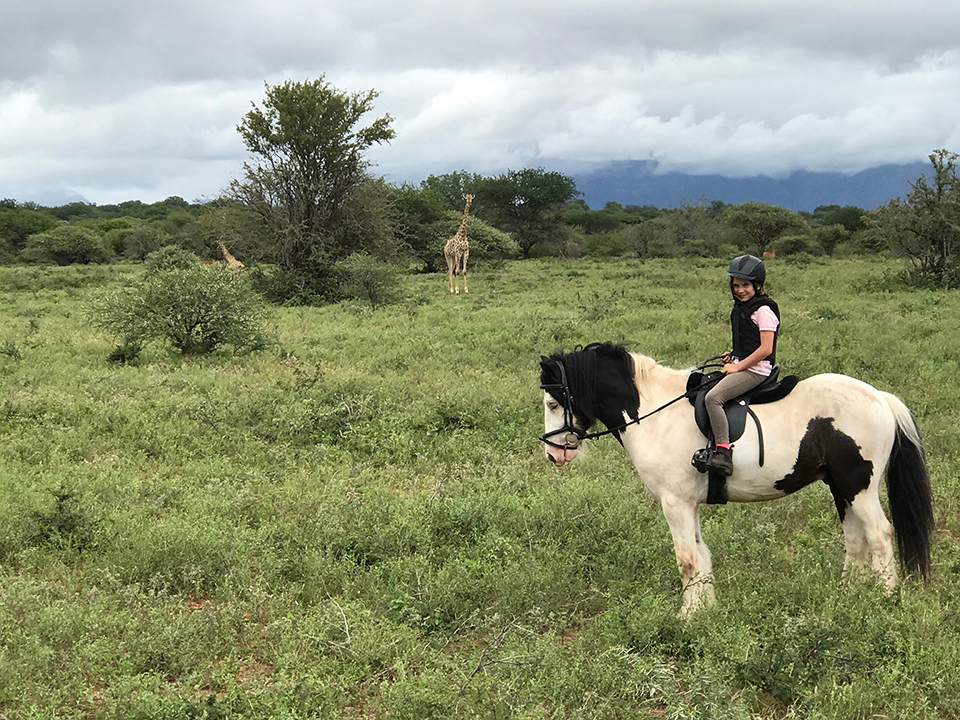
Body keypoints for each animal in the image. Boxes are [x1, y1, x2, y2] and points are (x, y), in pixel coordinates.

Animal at [539, 342, 934, 617]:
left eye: (554, 403)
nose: (553, 454)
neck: (655, 414)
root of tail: (880, 398)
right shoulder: (689, 504)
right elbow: (701, 554)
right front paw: (705, 609)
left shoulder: (675, 504)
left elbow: (687, 559)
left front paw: (687, 617)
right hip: (842, 487)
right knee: (856, 539)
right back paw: (848, 596)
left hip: (859, 486)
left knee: (880, 535)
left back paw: (885, 598)